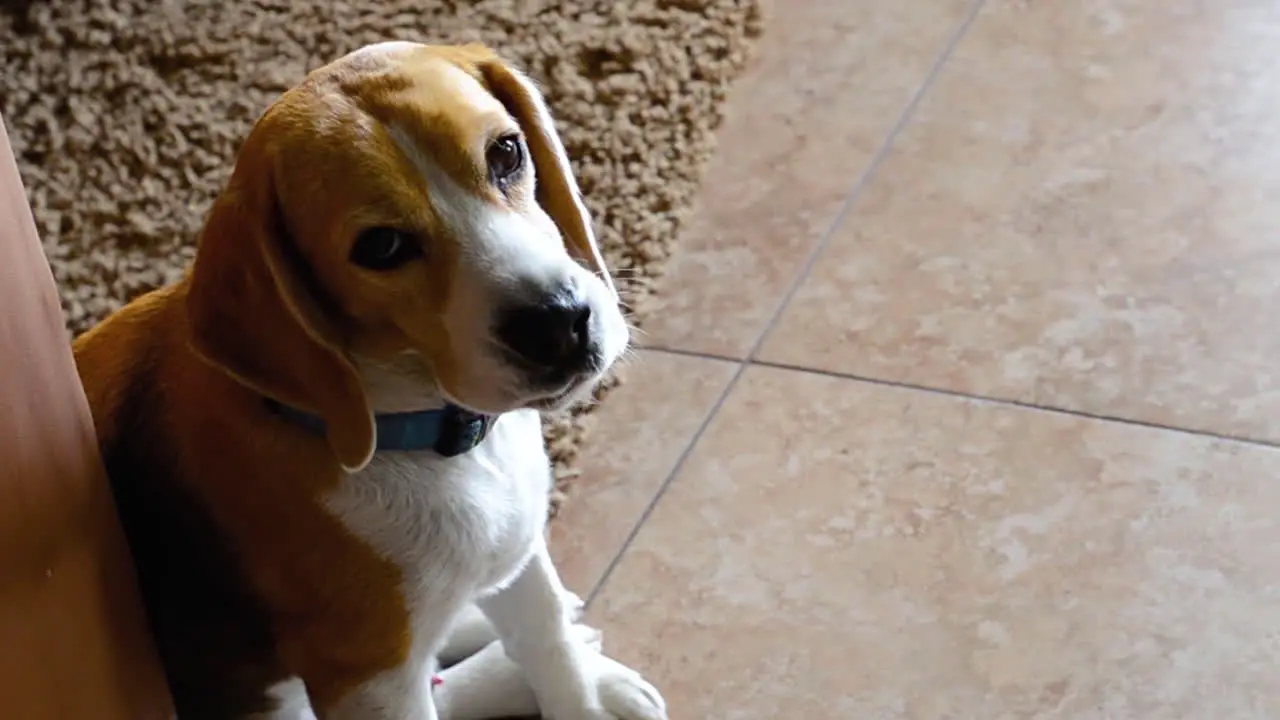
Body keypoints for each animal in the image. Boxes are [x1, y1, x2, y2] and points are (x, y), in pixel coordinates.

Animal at [72, 41, 670, 717]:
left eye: (506, 154)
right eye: (381, 246)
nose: (558, 324)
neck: (425, 433)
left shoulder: (519, 549)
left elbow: (547, 641)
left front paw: (579, 689)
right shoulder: (369, 676)